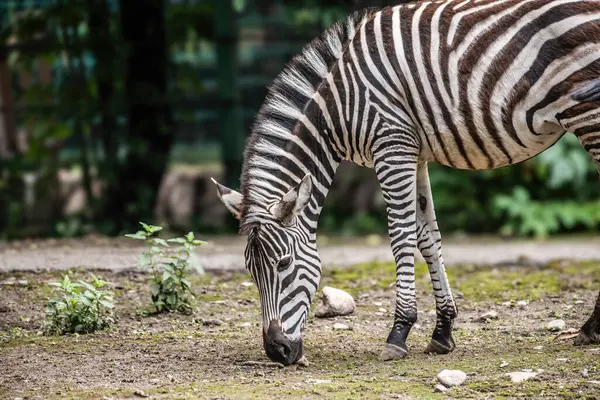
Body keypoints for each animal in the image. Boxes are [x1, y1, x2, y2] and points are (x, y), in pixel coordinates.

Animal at [211, 0, 600, 366]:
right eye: (250, 270)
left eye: (284, 264)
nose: (276, 351)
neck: (338, 108)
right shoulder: (415, 152)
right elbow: (428, 236)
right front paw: (442, 331)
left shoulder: (392, 145)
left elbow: (401, 235)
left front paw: (398, 333)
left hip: (588, 115)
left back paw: (591, 327)